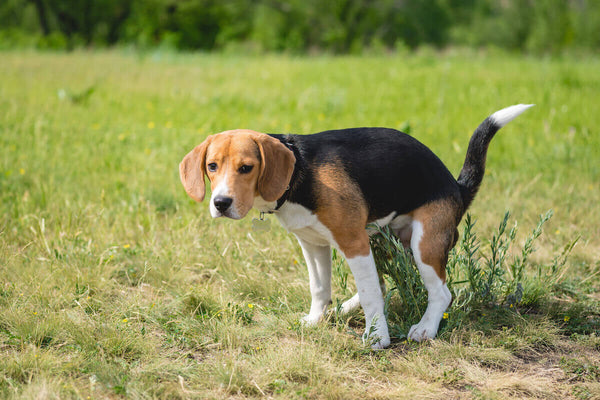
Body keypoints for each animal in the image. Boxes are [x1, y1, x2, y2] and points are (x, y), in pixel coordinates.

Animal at [179, 104, 536, 348]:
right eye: (212, 166)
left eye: (246, 168)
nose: (221, 203)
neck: (299, 172)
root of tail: (457, 187)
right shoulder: (313, 244)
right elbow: (320, 288)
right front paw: (316, 319)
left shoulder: (352, 242)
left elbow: (370, 294)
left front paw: (377, 337)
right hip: (384, 241)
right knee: (383, 281)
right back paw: (345, 308)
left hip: (423, 244)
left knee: (440, 292)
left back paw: (425, 328)